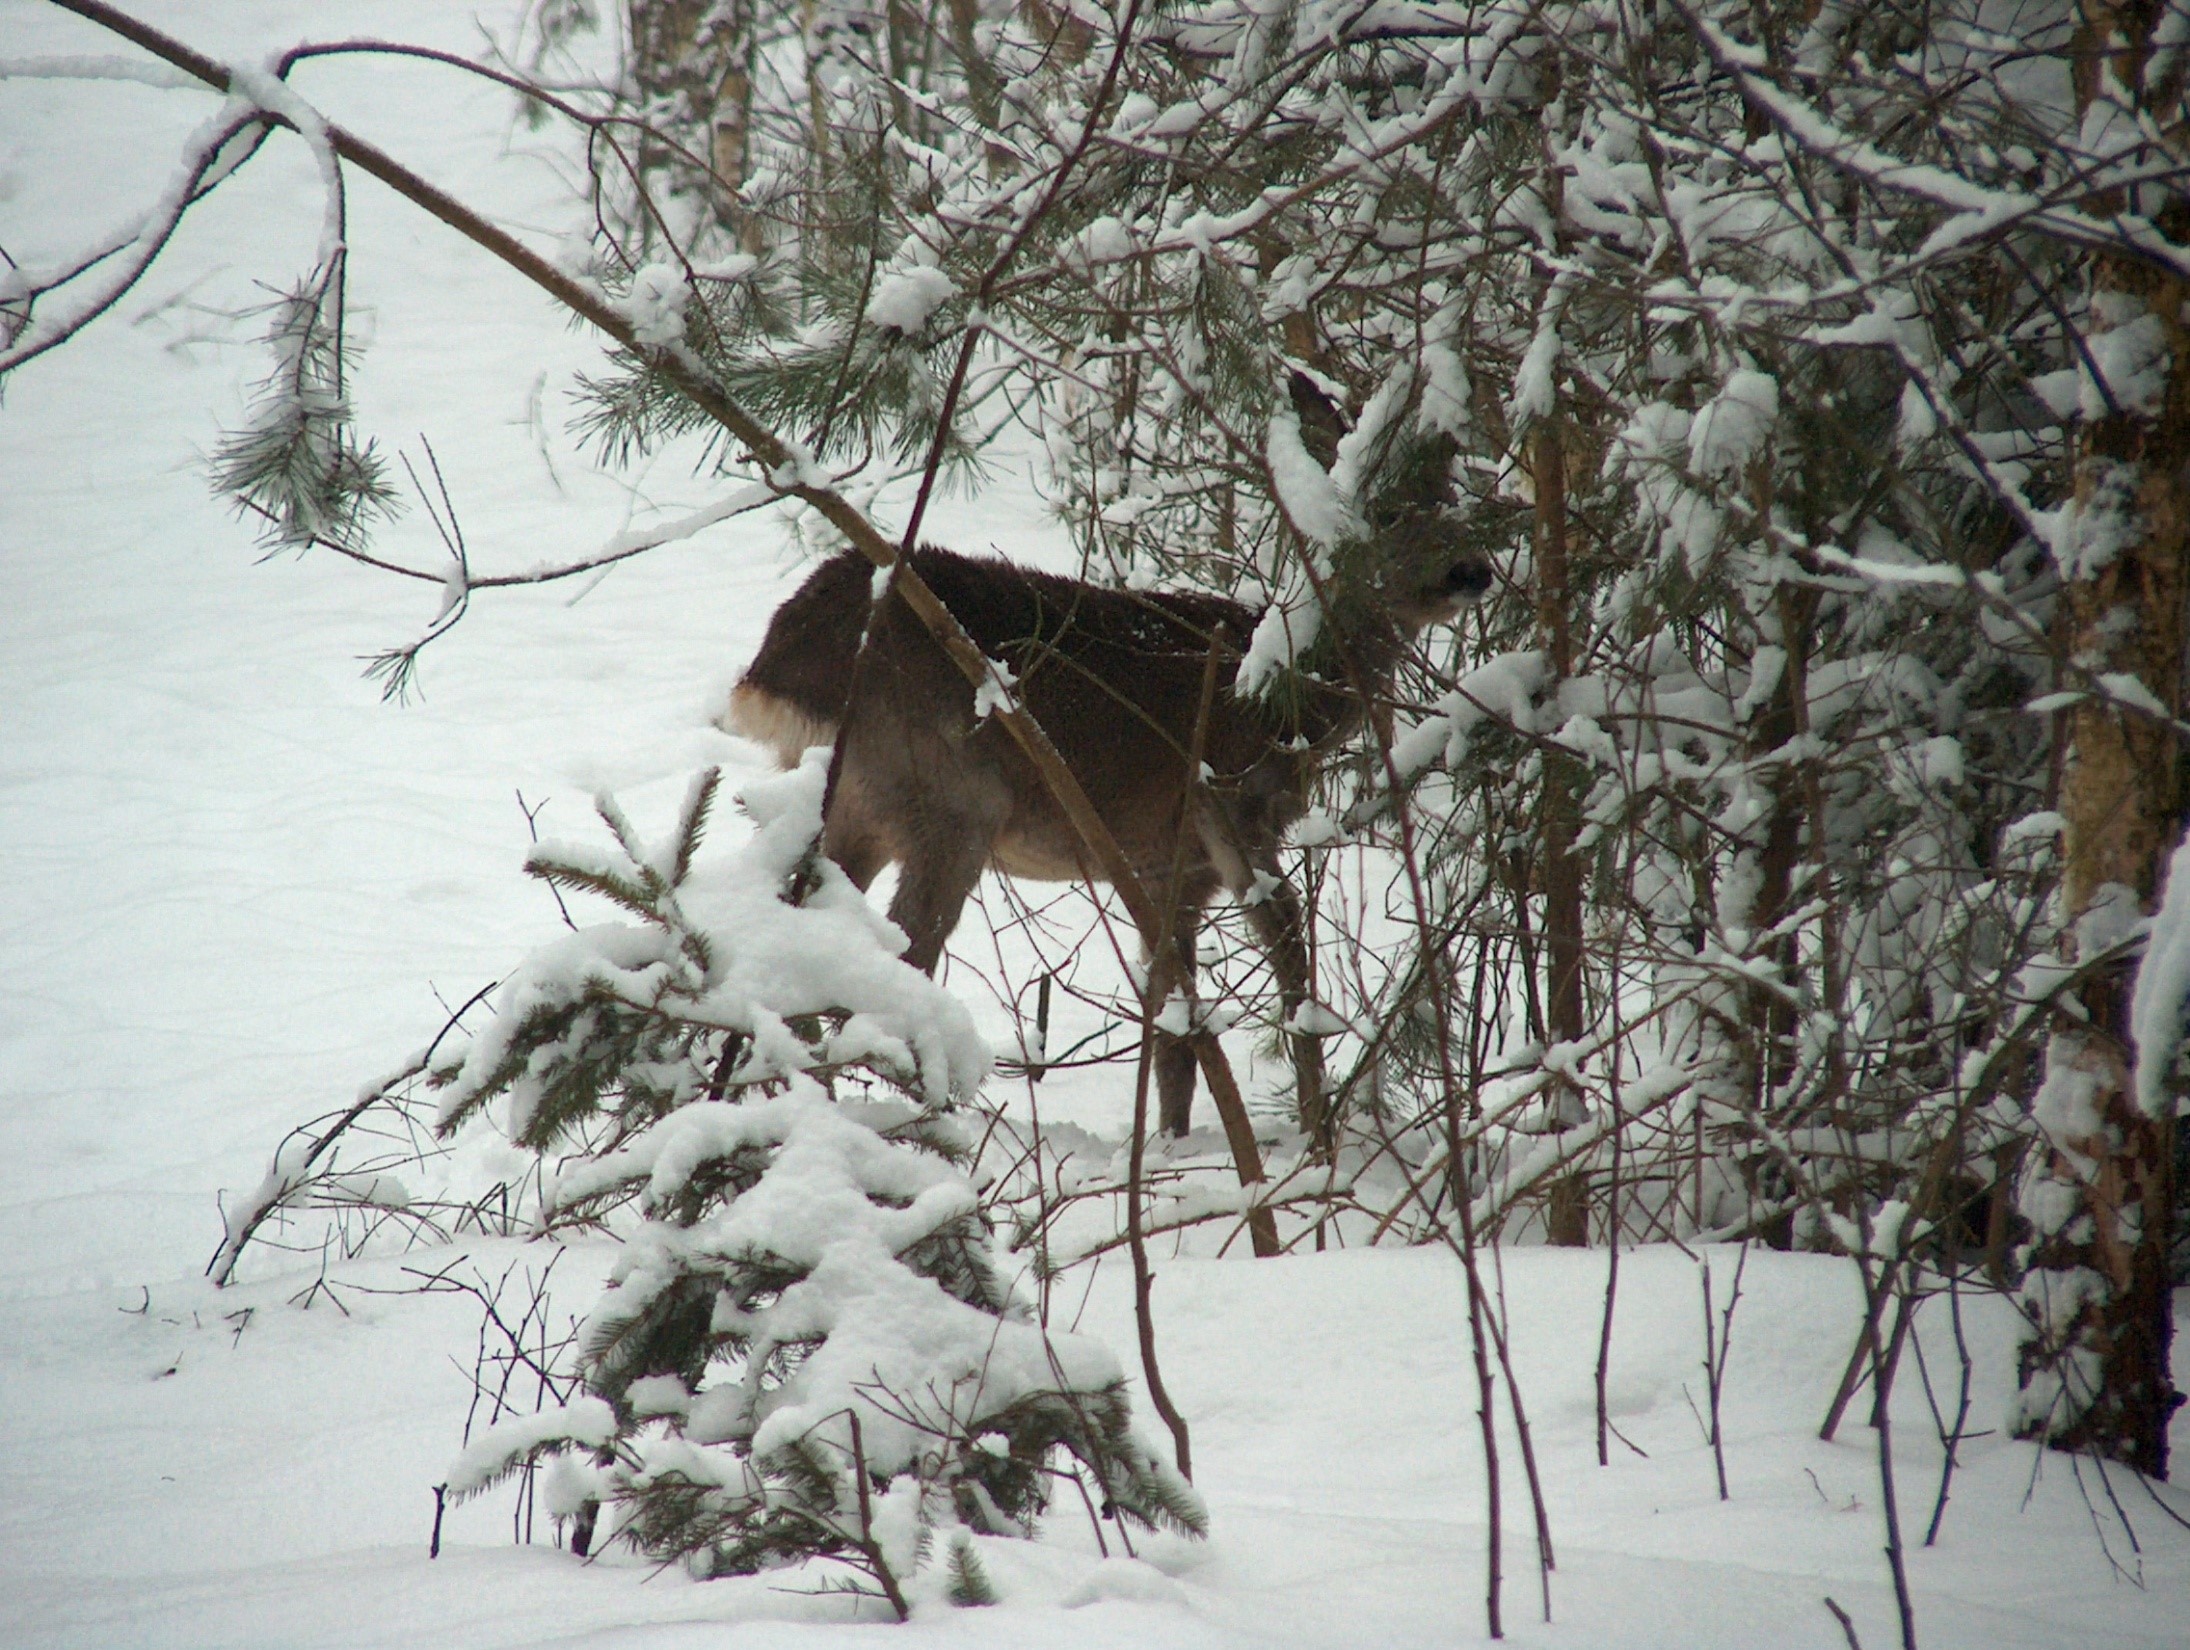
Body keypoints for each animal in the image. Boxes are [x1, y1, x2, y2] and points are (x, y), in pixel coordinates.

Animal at [727, 379, 1497, 1139]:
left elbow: (1174, 1007)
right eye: (1389, 512)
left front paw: (1169, 1141)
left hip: (847, 803)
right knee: (904, 954)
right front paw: (1313, 1126)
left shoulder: (1167, 865)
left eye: (1458, 501)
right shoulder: (1224, 809)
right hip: (951, 796)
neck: (1285, 702)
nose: (1474, 572)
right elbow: (1286, 949)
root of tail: (779, 657)